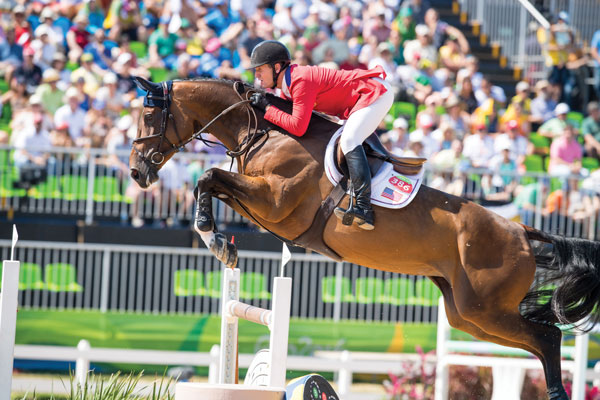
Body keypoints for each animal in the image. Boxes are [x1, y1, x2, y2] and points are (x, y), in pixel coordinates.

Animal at [129, 76, 600, 398]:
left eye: (150, 116)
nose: (136, 171)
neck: (263, 132)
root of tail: (519, 229)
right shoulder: (263, 206)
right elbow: (213, 183)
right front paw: (221, 242)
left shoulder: (276, 202)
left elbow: (208, 177)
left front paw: (212, 236)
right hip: (468, 316)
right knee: (537, 339)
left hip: (485, 309)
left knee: (548, 337)